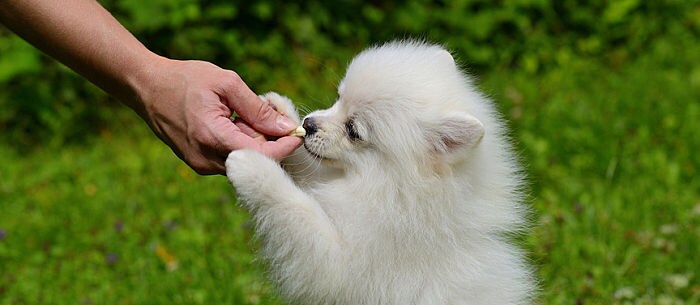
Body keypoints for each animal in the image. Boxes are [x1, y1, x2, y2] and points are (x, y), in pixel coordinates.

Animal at [227, 41, 532, 304]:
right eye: (338, 98)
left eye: (353, 131)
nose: (309, 123)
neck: (391, 188)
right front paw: (280, 112)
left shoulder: (341, 264)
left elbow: (296, 208)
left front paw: (251, 166)